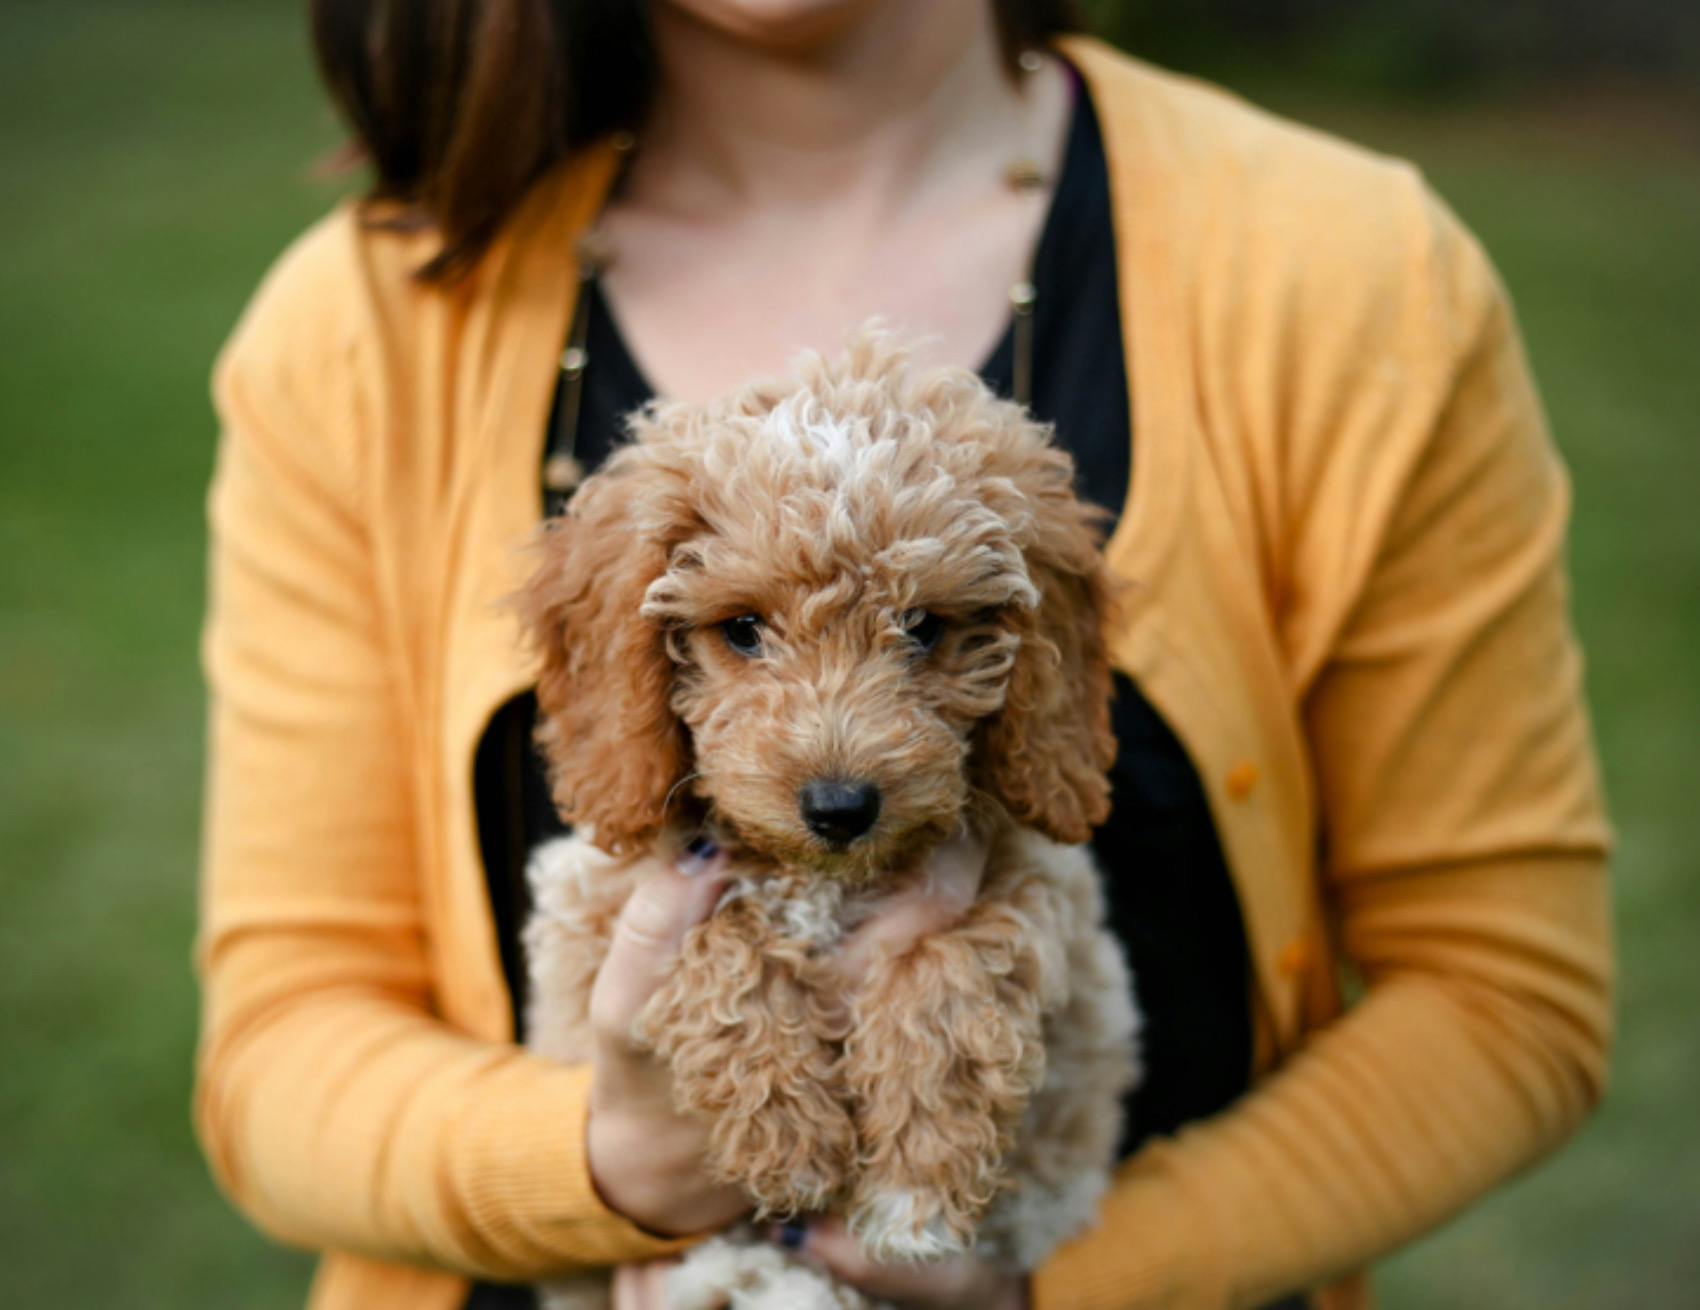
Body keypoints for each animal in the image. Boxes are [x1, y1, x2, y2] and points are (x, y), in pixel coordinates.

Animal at [516, 333, 1142, 1310]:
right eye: (742, 629)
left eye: (923, 627)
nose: (841, 806)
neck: (822, 881)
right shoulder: (601, 913)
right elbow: (718, 946)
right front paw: (790, 1137)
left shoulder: (1038, 883)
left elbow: (960, 963)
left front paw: (915, 1187)